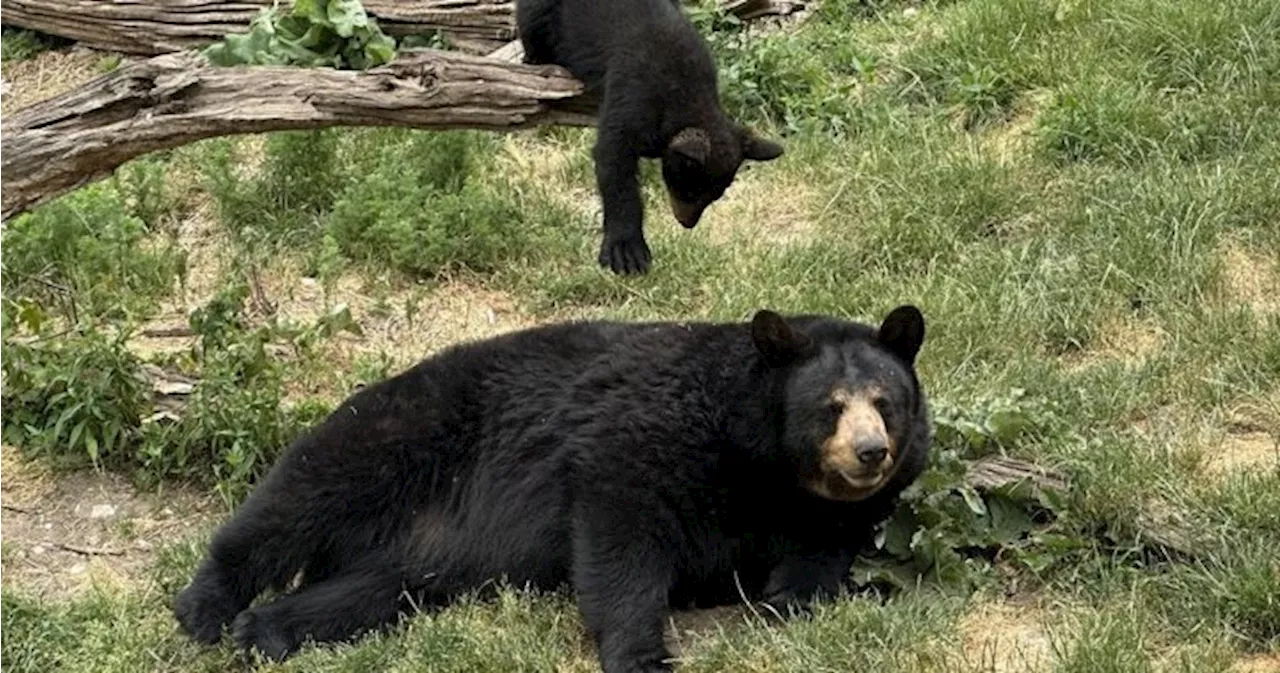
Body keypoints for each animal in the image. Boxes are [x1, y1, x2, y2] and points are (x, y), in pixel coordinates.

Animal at [170, 307, 931, 673]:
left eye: (885, 401)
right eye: (831, 406)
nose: (871, 452)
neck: (764, 460)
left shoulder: (828, 512)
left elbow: (817, 560)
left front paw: (782, 603)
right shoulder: (649, 432)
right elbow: (621, 529)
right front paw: (641, 654)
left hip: (417, 556)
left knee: (367, 591)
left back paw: (269, 630)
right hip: (403, 431)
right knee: (299, 497)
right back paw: (207, 606)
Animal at [514, 0, 783, 277]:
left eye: (715, 195)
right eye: (689, 189)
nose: (687, 223)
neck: (684, 92)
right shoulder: (632, 98)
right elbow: (614, 166)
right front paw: (626, 251)